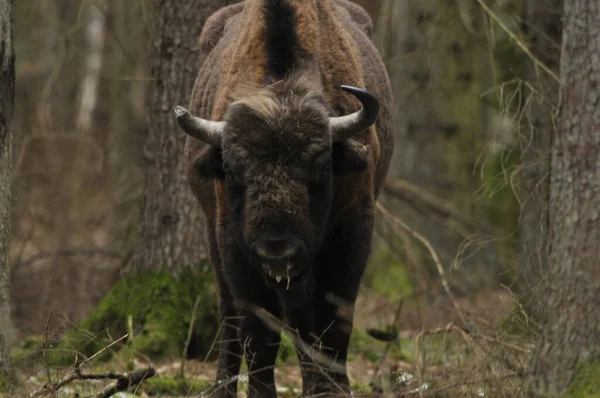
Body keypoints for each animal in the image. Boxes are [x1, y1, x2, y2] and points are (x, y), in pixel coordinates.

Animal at [175, 1, 394, 396]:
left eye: (320, 164)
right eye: (232, 168)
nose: (277, 251)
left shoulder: (351, 234)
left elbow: (334, 324)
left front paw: (332, 389)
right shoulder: (233, 246)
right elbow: (258, 333)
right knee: (231, 320)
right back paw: (223, 387)